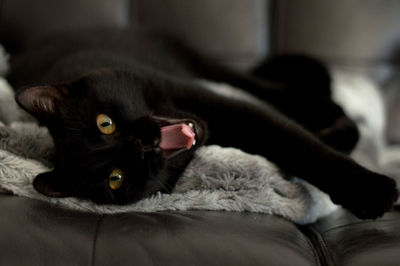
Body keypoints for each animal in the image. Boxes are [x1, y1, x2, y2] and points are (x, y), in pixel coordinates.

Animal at [7, 28, 398, 218]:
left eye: (106, 123)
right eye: (114, 178)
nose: (141, 146)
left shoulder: (221, 103)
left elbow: (299, 145)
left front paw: (374, 190)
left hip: (204, 65)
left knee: (278, 91)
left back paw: (338, 126)